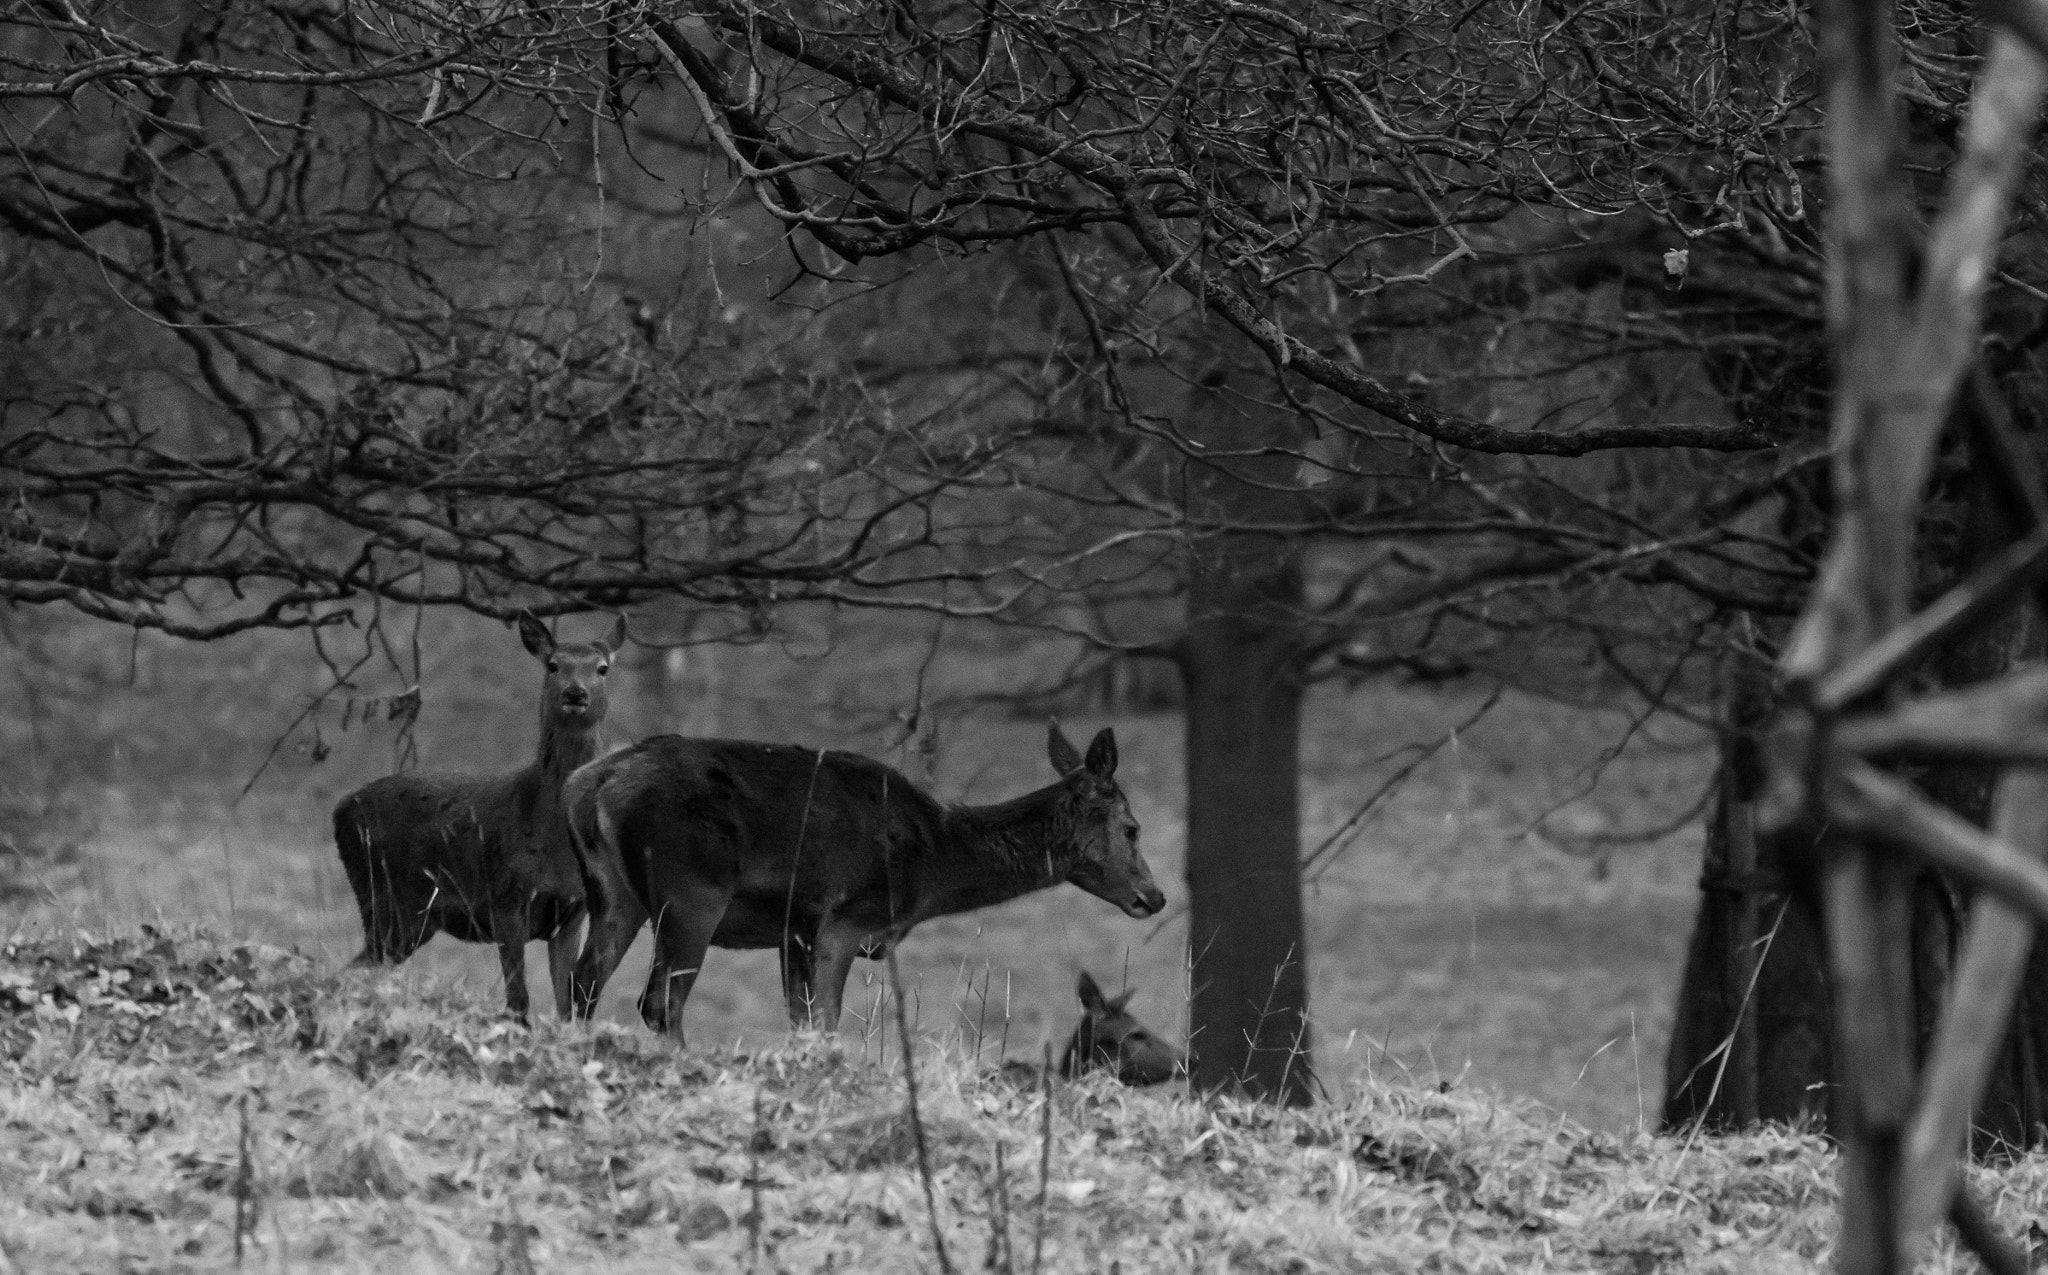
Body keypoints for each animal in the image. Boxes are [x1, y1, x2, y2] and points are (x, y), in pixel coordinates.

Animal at [332, 610, 626, 1022]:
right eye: (553, 665)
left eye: (602, 668)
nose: (575, 693)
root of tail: (338, 811)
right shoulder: (505, 898)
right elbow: (517, 1000)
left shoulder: (572, 913)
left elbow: (566, 1004)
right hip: (384, 899)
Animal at [560, 722, 1165, 1046]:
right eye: (1132, 828)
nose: (1154, 897)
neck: (933, 857)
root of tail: (591, 784)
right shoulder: (845, 919)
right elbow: (826, 1022)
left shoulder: (795, 930)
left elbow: (802, 1022)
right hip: (691, 892)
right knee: (660, 1001)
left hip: (613, 895)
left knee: (581, 983)